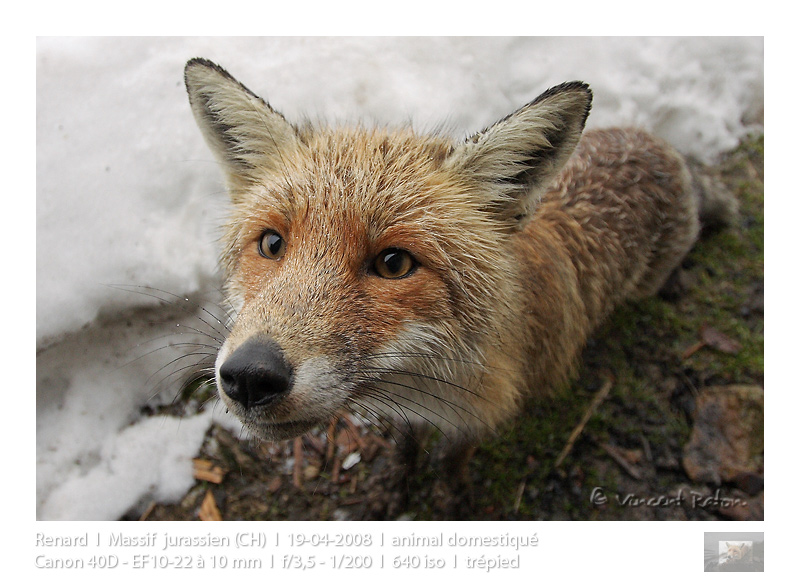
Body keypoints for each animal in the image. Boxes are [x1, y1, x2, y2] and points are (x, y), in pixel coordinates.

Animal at [183, 58, 734, 509]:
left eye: (394, 263)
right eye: (272, 244)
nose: (251, 375)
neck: (426, 383)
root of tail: (662, 148)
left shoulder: (480, 414)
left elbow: (451, 465)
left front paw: (449, 501)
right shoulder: (412, 413)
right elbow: (406, 449)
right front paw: (395, 489)